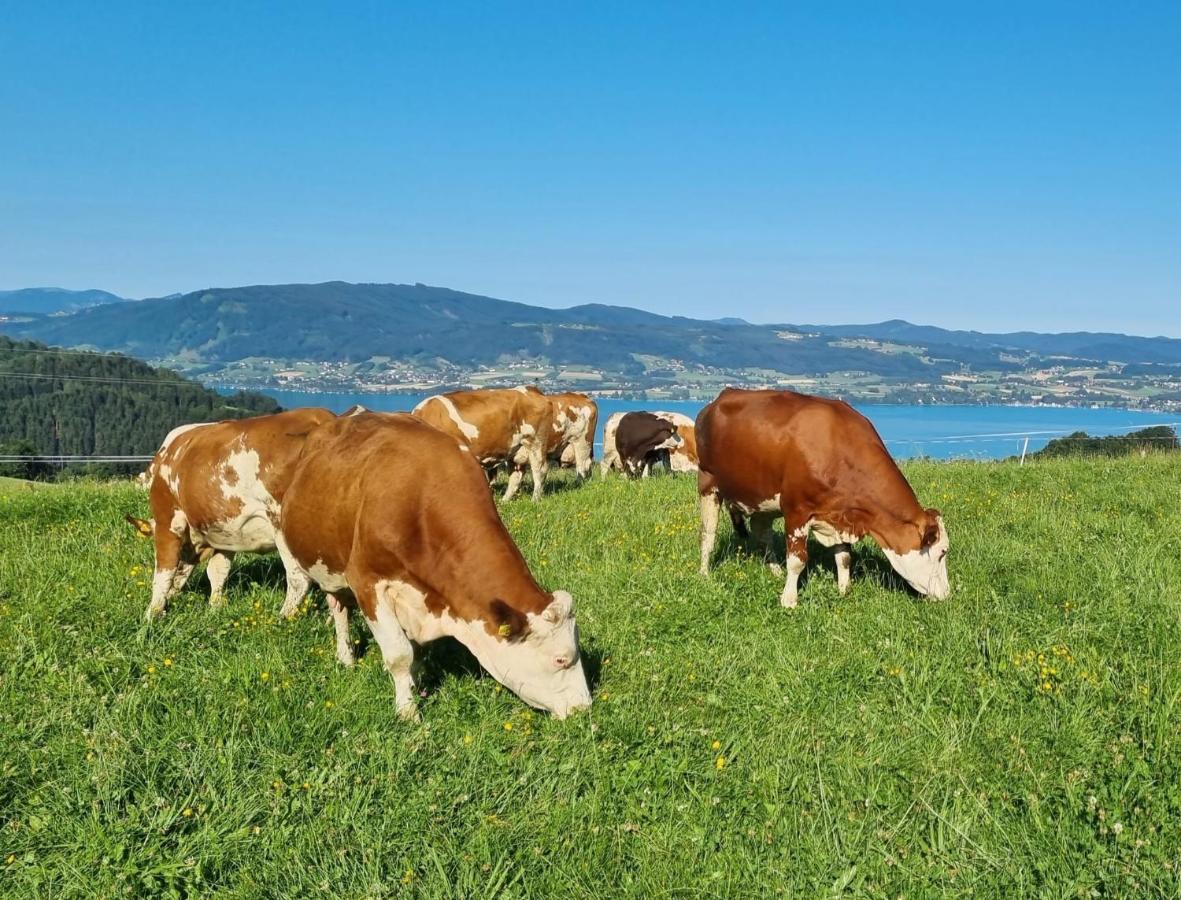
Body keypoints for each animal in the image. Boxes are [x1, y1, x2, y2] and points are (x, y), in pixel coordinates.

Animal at [276, 411, 590, 718]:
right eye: (560, 659)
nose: (583, 709)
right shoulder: (367, 581)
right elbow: (400, 654)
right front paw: (408, 713)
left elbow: (415, 654)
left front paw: (416, 687)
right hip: (326, 565)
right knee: (339, 609)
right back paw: (346, 657)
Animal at [413, 385, 555, 500]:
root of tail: (532, 389)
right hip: (515, 449)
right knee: (516, 475)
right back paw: (504, 500)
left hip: (536, 441)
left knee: (540, 470)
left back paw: (535, 500)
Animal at [694, 385, 944, 602]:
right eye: (942, 552)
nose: (946, 594)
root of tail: (720, 398)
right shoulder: (797, 510)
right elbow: (797, 560)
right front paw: (789, 599)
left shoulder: (841, 515)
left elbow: (844, 558)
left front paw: (844, 590)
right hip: (708, 483)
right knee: (708, 533)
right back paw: (704, 573)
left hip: (761, 497)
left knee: (762, 533)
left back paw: (774, 570)